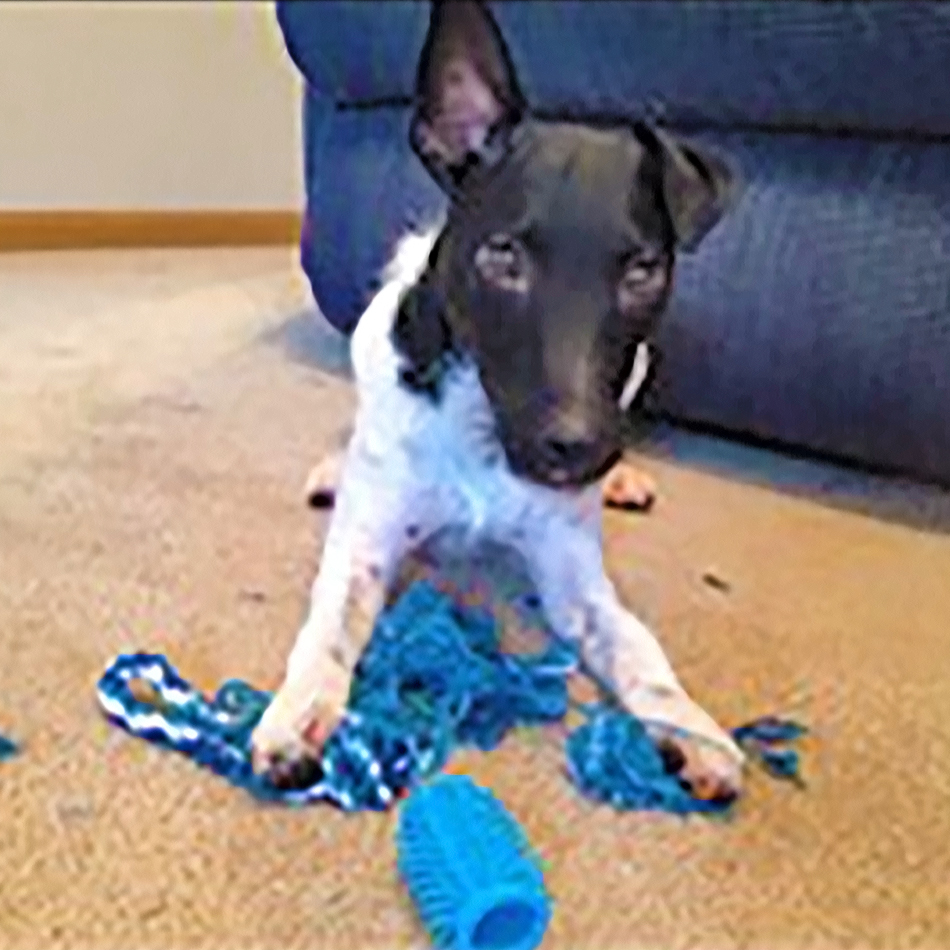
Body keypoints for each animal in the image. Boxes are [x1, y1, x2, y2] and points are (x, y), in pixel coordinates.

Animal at [255, 0, 752, 804]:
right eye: (503, 257)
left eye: (643, 271)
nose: (576, 449)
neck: (483, 430)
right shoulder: (369, 541)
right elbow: (332, 620)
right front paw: (298, 711)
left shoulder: (572, 574)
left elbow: (635, 644)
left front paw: (689, 726)